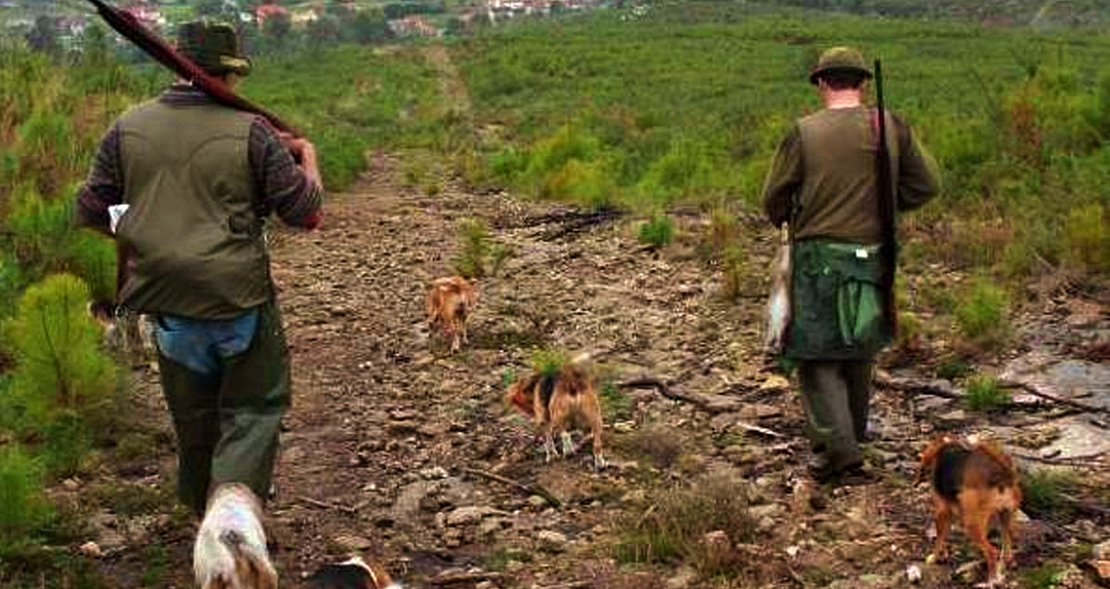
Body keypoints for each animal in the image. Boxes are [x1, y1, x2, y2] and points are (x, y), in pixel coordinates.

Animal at [919, 434, 1021, 585]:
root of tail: (1002, 475)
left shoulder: (942, 510)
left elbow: (939, 538)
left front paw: (934, 558)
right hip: (1006, 515)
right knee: (1007, 541)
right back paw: (1007, 563)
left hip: (971, 523)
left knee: (992, 552)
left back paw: (991, 580)